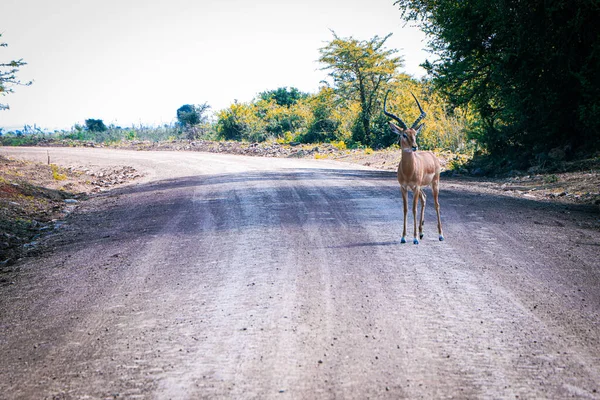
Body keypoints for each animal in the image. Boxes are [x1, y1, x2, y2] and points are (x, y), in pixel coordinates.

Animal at [384, 92, 440, 245]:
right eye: (404, 134)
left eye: (415, 134)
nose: (415, 146)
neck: (408, 171)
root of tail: (432, 156)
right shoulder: (403, 187)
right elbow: (405, 209)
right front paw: (403, 237)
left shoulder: (415, 187)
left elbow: (414, 209)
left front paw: (414, 238)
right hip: (421, 188)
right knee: (424, 199)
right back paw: (421, 232)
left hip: (434, 184)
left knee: (436, 204)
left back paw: (440, 235)